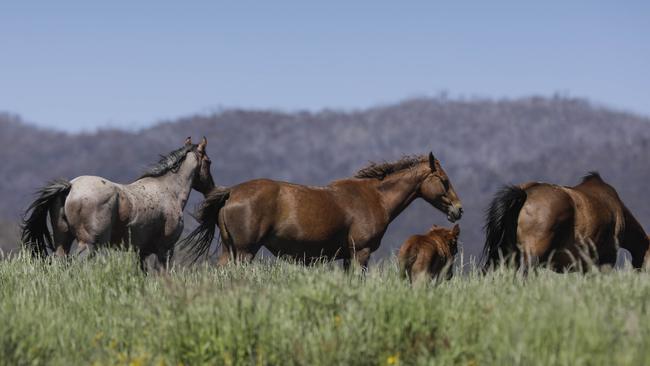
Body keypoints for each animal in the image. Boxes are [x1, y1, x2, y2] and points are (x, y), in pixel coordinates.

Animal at [21, 137, 214, 268]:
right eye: (208, 162)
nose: (211, 188)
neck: (168, 190)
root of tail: (71, 186)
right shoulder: (165, 250)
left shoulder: (141, 253)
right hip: (89, 244)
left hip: (63, 241)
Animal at [182, 153, 460, 270]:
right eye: (444, 180)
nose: (459, 209)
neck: (375, 197)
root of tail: (231, 193)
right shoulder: (361, 253)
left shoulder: (348, 257)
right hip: (244, 252)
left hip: (230, 250)